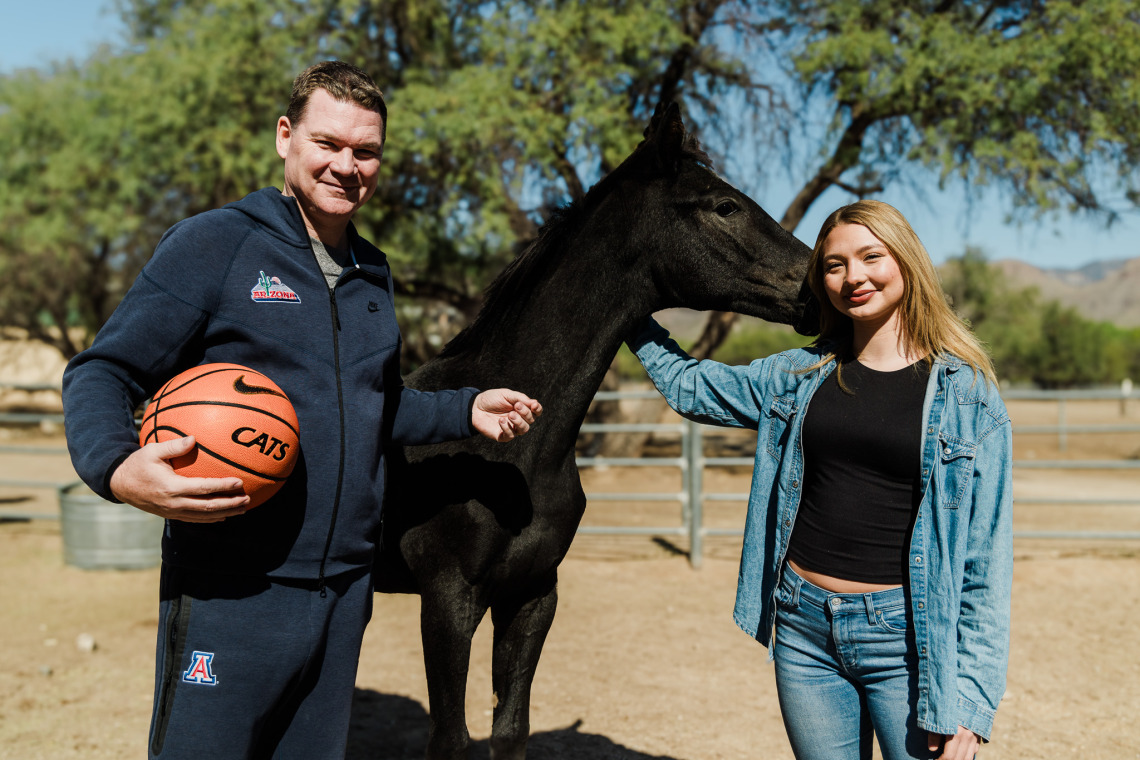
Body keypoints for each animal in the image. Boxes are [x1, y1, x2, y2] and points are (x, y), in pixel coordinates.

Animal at [378, 102, 816, 760]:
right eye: (725, 206)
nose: (818, 283)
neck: (508, 452)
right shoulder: (447, 601)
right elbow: (452, 739)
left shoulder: (532, 595)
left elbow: (509, 730)